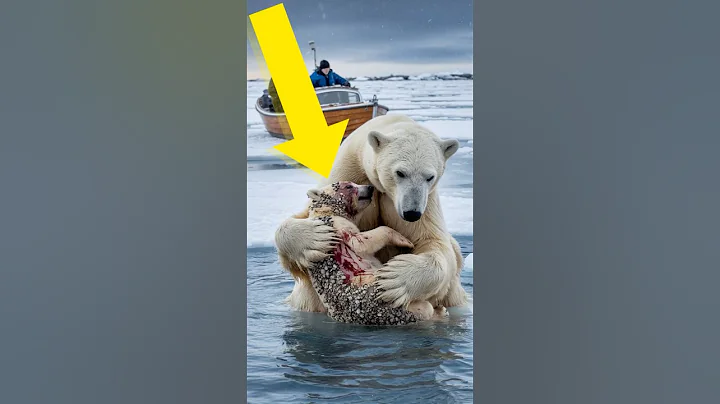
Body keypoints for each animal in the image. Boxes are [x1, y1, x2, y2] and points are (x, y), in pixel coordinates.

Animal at [303, 180, 447, 325]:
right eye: (348, 186)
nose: (370, 187)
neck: (325, 211)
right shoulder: (335, 227)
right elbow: (359, 242)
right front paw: (405, 241)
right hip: (382, 296)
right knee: (423, 308)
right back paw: (438, 311)